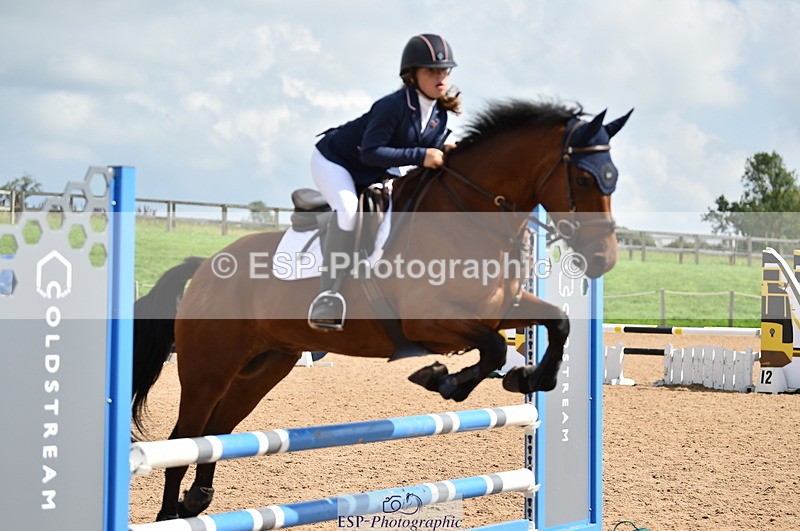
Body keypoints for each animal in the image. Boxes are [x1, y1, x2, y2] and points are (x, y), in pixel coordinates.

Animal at [132, 99, 632, 521]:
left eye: (614, 178)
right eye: (584, 179)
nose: (603, 260)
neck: (469, 216)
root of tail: (205, 266)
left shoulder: (500, 308)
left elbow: (558, 322)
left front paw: (528, 378)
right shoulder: (431, 321)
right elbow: (490, 348)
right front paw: (442, 380)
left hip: (264, 367)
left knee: (215, 433)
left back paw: (198, 499)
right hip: (209, 369)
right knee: (182, 441)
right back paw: (169, 513)